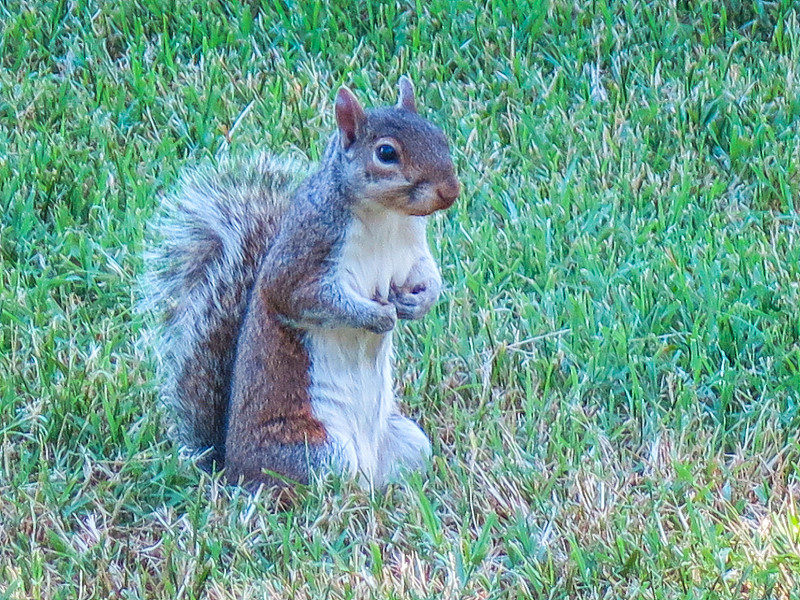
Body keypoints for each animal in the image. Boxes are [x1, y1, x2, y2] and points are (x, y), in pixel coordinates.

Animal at [141, 77, 460, 490]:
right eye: (386, 153)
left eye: (440, 136)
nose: (450, 191)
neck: (387, 217)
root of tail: (231, 471)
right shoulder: (305, 253)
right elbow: (301, 298)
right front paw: (376, 316)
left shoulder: (413, 252)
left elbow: (429, 276)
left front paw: (418, 304)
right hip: (316, 452)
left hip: (409, 442)